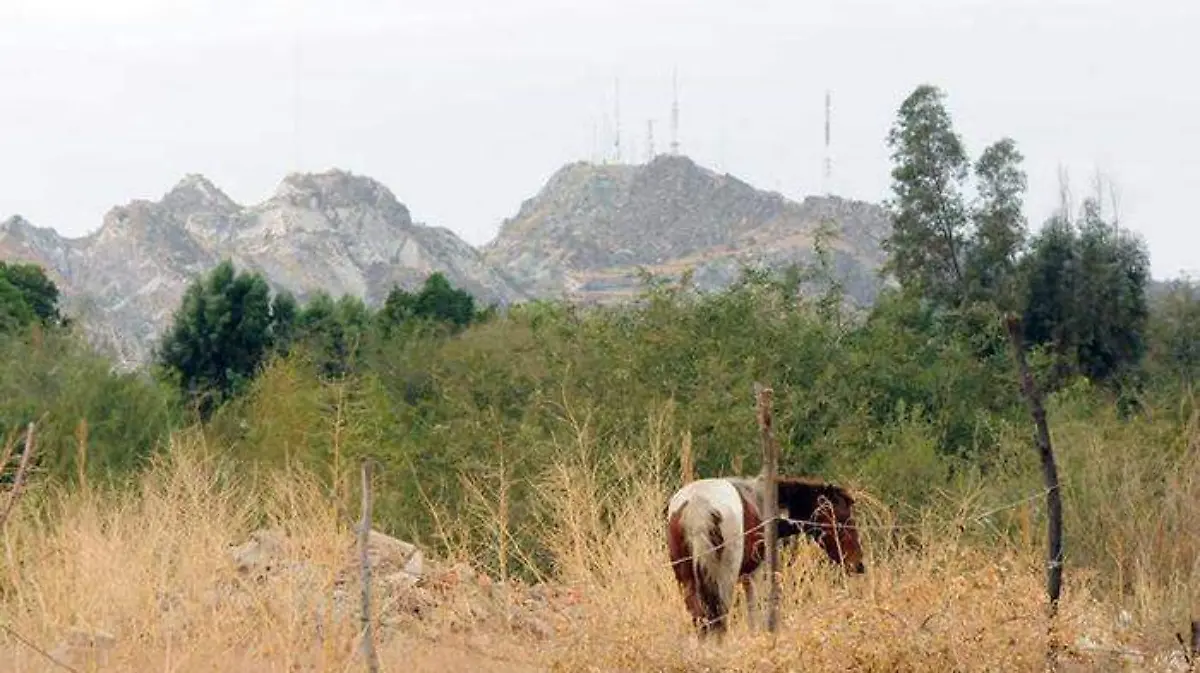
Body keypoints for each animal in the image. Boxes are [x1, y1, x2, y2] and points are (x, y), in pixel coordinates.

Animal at [665, 473, 865, 638]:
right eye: (842, 519)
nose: (858, 564)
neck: (762, 502)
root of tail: (698, 504)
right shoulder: (755, 573)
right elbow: (754, 612)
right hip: (724, 578)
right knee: (719, 616)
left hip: (686, 579)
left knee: (700, 617)